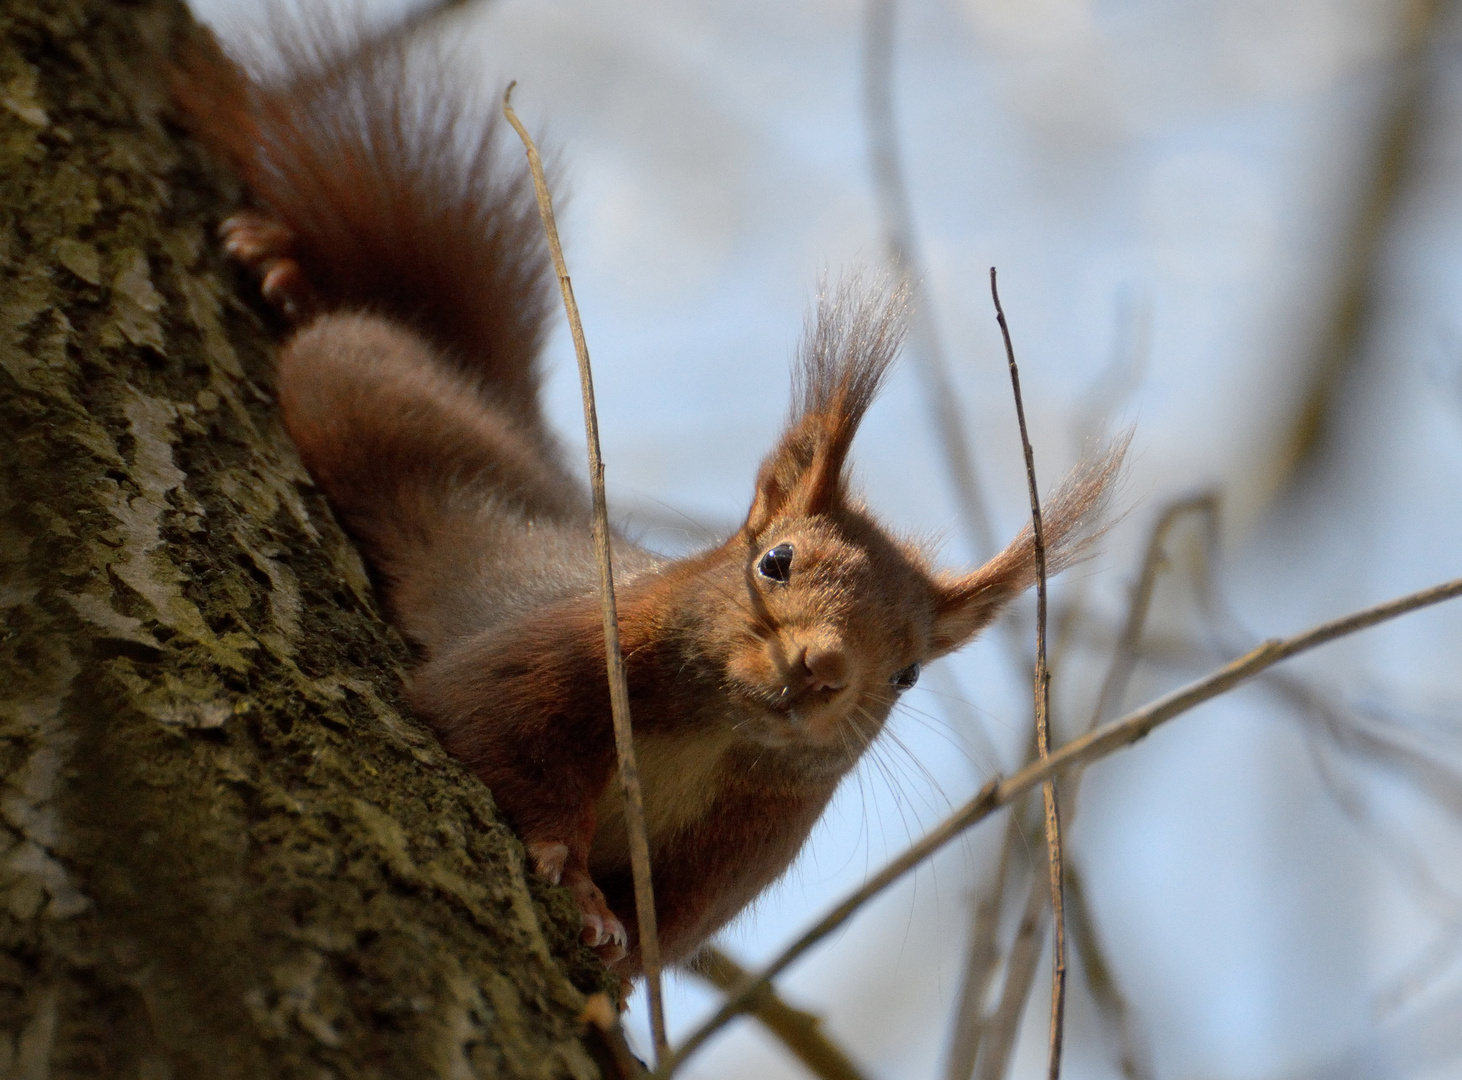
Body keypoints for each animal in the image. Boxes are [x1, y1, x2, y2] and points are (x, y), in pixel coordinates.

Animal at [171, 31, 1116, 982]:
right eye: (774, 561)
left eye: (909, 672)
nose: (821, 668)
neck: (715, 730)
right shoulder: (557, 655)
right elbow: (488, 735)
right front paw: (571, 877)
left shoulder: (740, 846)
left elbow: (661, 931)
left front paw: (614, 972)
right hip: (359, 388)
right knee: (336, 333)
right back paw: (283, 272)